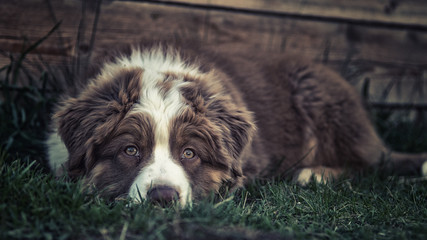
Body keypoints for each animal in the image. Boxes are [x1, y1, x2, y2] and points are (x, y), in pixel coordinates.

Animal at [46, 39, 427, 206]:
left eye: (189, 153)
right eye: (129, 150)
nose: (164, 197)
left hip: (323, 101)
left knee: (370, 164)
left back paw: (314, 174)